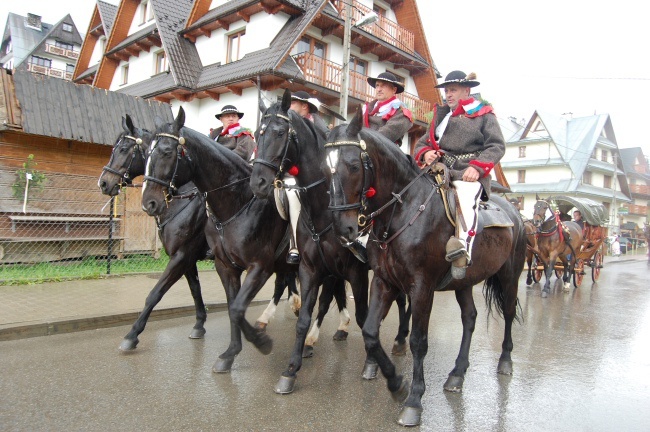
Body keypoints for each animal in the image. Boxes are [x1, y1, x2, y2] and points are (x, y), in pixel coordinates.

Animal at [97, 114, 300, 352]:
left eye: (124, 149)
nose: (104, 182)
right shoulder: (188, 259)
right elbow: (195, 290)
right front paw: (199, 325)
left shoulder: (182, 255)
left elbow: (155, 293)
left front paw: (132, 335)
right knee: (285, 280)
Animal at [140, 109, 344, 372]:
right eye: (146, 153)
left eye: (166, 152)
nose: (149, 202)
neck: (238, 202)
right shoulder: (224, 266)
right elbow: (230, 306)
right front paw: (230, 353)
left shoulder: (258, 266)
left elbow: (237, 309)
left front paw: (261, 342)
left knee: (326, 298)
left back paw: (313, 338)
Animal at [326, 110, 524, 426]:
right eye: (326, 168)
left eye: (354, 165)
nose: (343, 229)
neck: (403, 209)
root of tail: (515, 212)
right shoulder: (383, 281)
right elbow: (370, 332)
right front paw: (396, 383)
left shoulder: (421, 288)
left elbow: (419, 341)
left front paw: (414, 399)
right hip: (464, 282)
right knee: (469, 318)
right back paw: (457, 374)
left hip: (510, 276)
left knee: (506, 313)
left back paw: (505, 361)